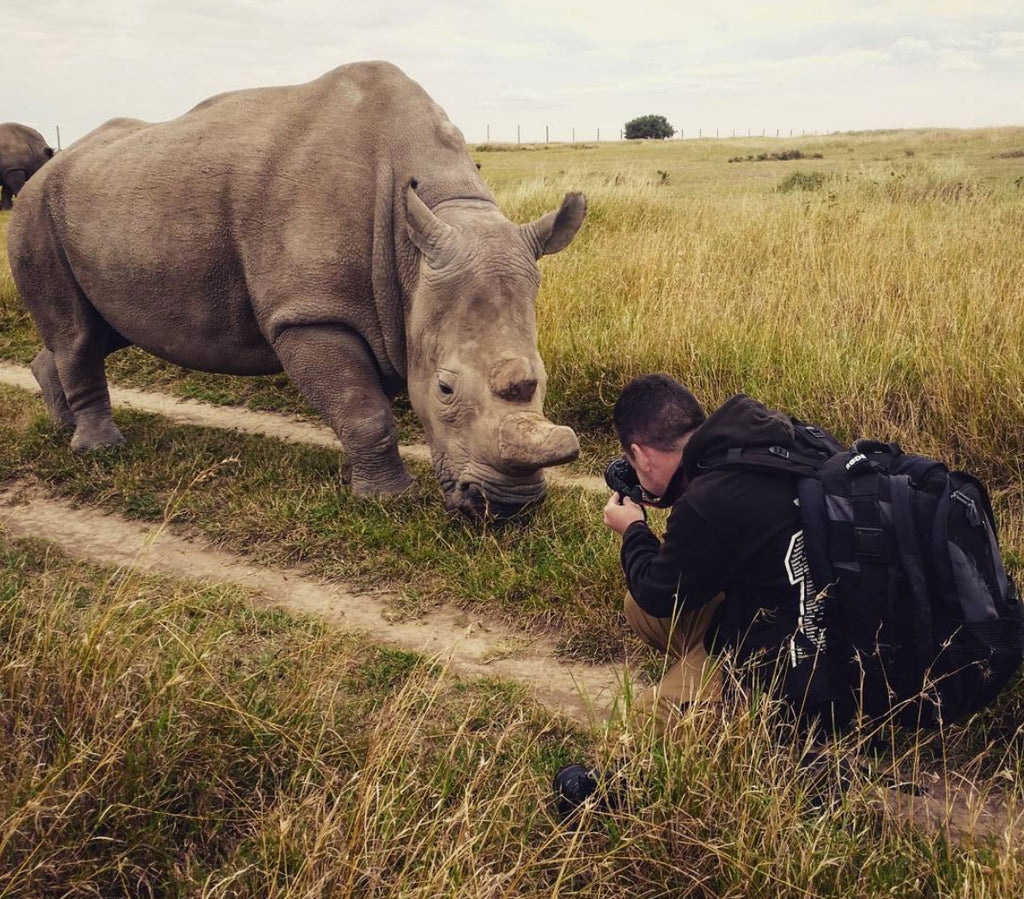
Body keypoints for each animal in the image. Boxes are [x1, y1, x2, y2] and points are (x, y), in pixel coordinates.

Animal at [8, 61, 585, 520]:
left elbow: (370, 400)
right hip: (35, 209)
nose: (509, 509)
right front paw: (389, 501)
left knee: (102, 331)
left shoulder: (393, 306)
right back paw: (101, 451)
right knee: (78, 335)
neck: (417, 247)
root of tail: (47, 169)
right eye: (445, 388)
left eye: (543, 378)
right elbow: (364, 410)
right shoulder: (309, 313)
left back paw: (63, 426)